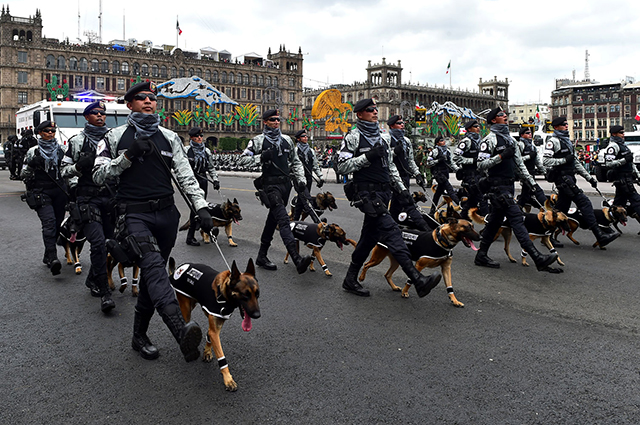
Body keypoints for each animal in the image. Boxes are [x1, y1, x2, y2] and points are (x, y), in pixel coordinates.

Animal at [170, 255, 262, 390]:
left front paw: (207, 352)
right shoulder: (214, 330)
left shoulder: (216, 328)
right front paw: (228, 379)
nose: (257, 315)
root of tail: (180, 268)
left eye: (257, 294)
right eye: (245, 295)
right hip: (186, 308)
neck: (224, 295)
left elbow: (209, 335)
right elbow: (221, 355)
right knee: (185, 321)